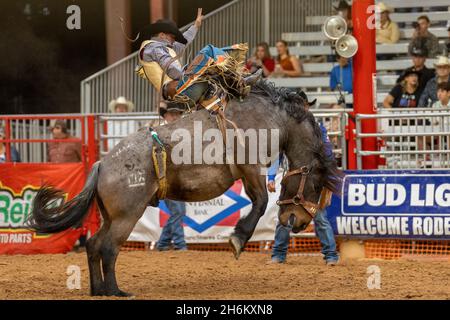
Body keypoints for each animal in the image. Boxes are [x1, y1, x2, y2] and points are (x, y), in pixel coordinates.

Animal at [26, 80, 342, 298]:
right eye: (316, 184)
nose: (298, 222)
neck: (273, 118)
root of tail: (102, 163)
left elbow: (258, 200)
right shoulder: (250, 167)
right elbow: (261, 201)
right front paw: (237, 239)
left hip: (110, 216)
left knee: (93, 244)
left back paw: (99, 290)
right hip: (127, 215)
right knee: (108, 248)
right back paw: (116, 291)